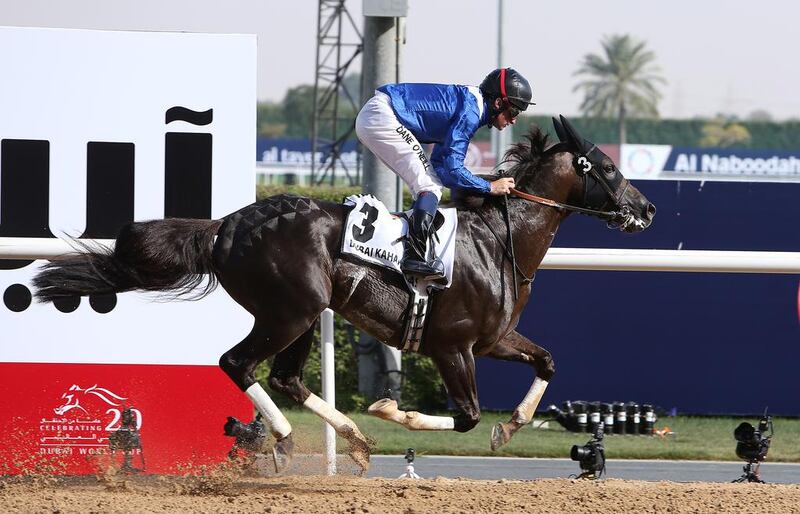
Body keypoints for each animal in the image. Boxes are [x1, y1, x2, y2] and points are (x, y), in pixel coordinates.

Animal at [31, 115, 656, 472]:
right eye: (605, 166)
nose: (647, 208)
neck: (496, 242)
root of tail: (226, 226)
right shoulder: (452, 346)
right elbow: (467, 417)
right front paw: (390, 408)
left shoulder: (493, 339)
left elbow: (545, 362)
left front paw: (513, 425)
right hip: (290, 311)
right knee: (238, 363)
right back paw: (284, 437)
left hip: (302, 316)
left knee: (285, 377)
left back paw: (352, 439)